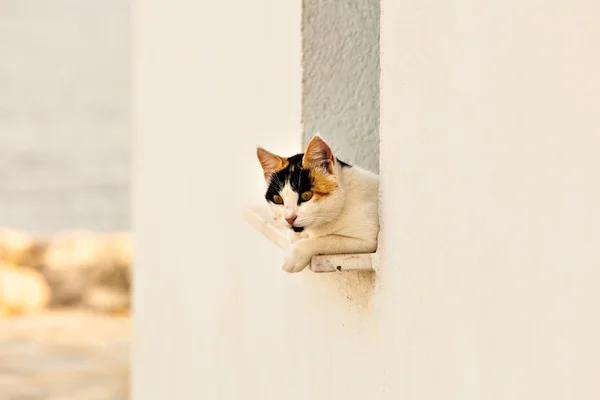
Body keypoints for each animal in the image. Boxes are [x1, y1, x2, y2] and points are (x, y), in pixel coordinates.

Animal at [256, 136, 380, 274]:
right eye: (277, 199)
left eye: (306, 195)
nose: (289, 218)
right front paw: (296, 235)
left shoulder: (368, 240)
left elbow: (327, 238)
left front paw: (296, 253)